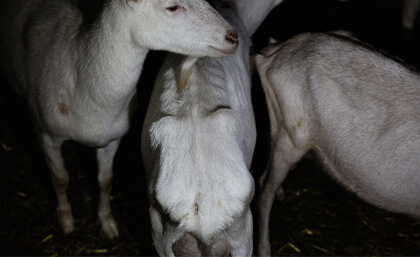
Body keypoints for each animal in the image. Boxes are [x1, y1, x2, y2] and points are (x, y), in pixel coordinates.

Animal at [0, 0, 238, 238]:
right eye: (172, 7)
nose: (233, 37)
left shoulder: (112, 139)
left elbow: (105, 181)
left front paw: (108, 225)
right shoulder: (46, 134)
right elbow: (60, 179)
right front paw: (66, 222)